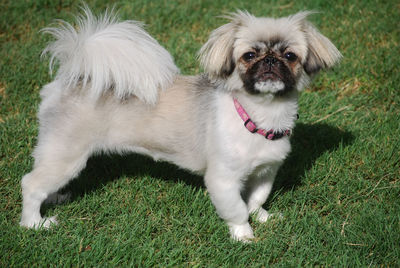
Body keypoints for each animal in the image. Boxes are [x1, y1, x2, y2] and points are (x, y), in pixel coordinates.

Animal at [19, 5, 340, 243]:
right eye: (249, 56)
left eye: (290, 56)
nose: (271, 61)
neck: (259, 114)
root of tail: (70, 78)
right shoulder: (222, 179)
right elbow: (237, 208)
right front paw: (244, 235)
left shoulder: (266, 171)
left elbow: (257, 198)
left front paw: (262, 217)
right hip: (67, 154)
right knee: (31, 184)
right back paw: (35, 223)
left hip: (61, 155)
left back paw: (56, 197)